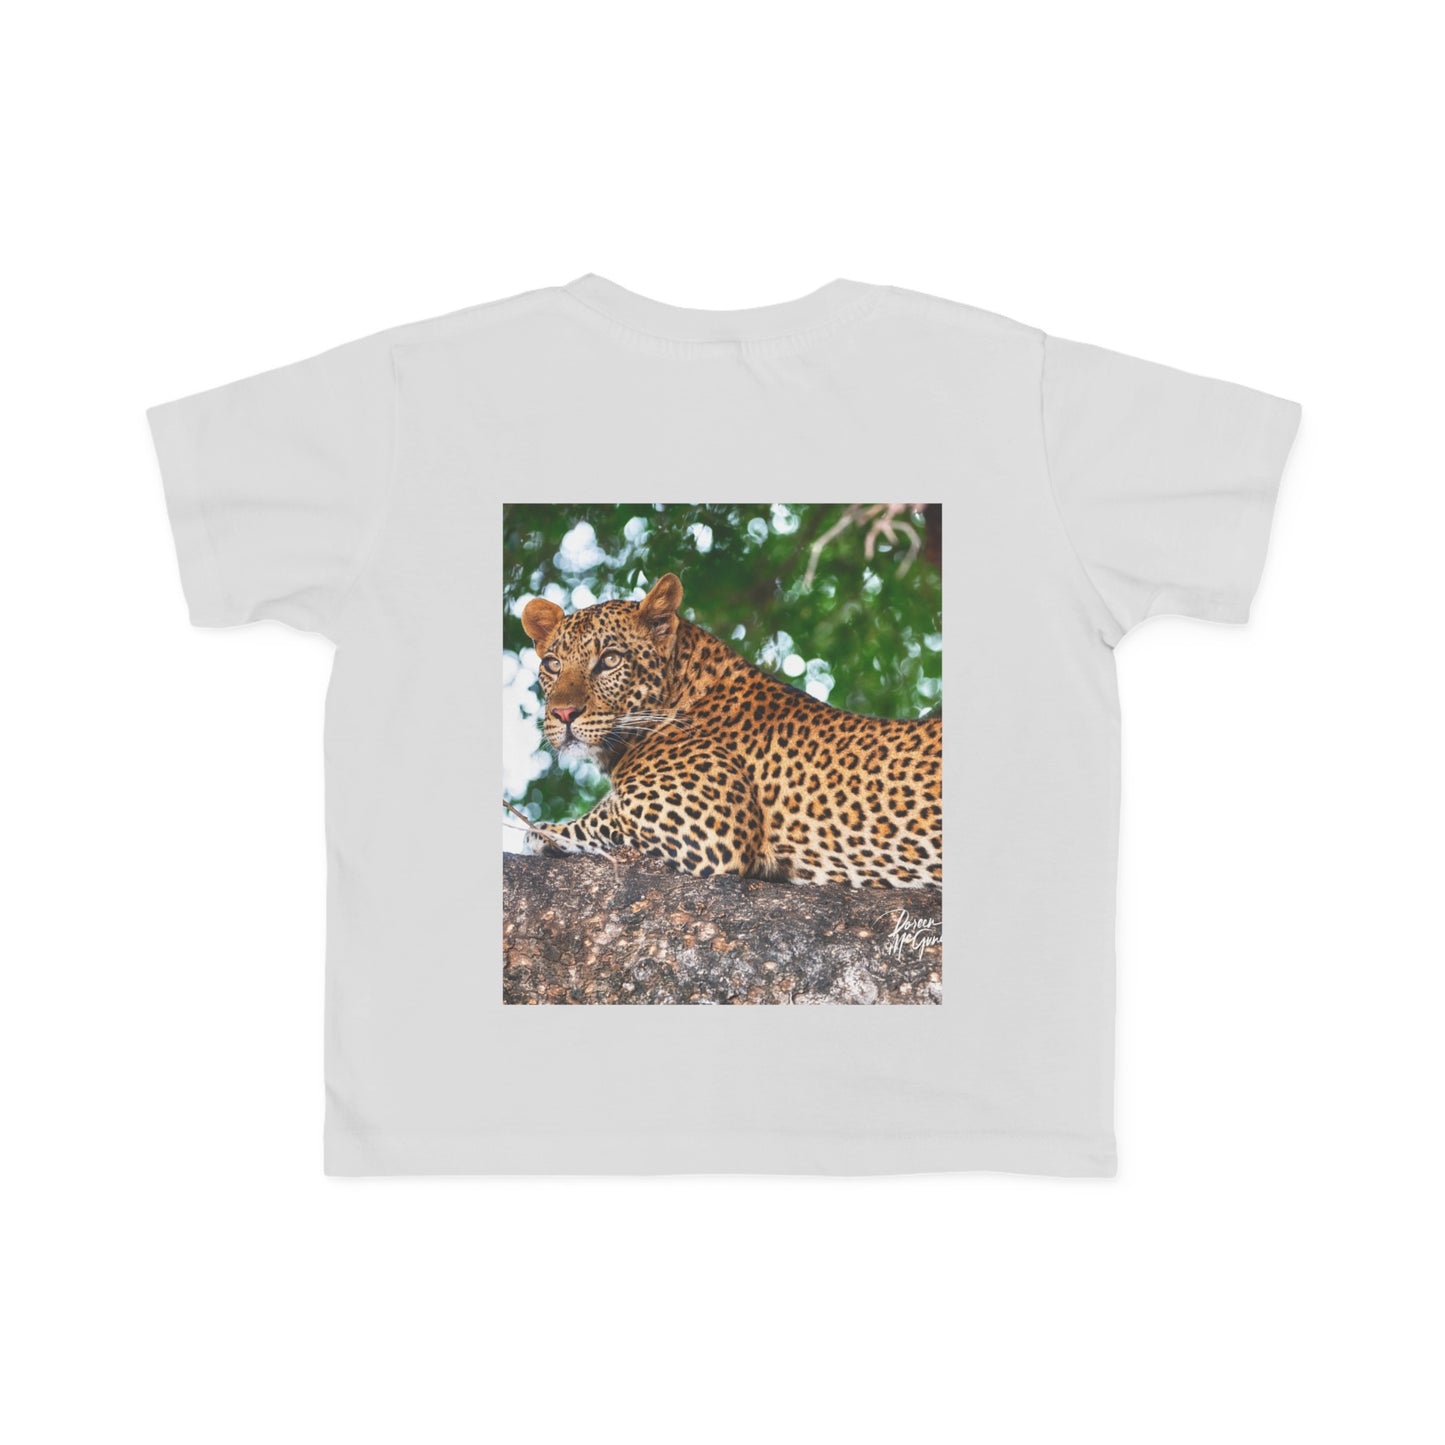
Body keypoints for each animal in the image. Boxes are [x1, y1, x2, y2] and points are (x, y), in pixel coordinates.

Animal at [519, 572, 942, 888]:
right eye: (553, 665)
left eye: (609, 660)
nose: (563, 713)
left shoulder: (701, 824)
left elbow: (599, 818)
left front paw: (541, 831)